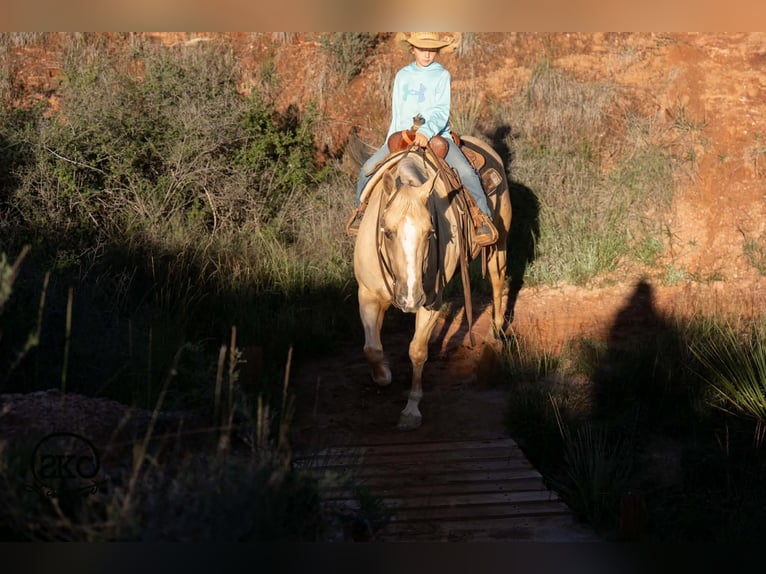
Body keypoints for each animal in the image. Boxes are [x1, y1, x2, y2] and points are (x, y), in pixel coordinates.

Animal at [352, 135, 513, 430]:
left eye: (430, 233)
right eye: (387, 232)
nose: (411, 298)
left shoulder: (432, 303)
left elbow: (417, 351)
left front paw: (411, 409)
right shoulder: (367, 294)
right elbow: (372, 349)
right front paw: (383, 375)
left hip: (499, 245)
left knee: (497, 284)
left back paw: (495, 337)